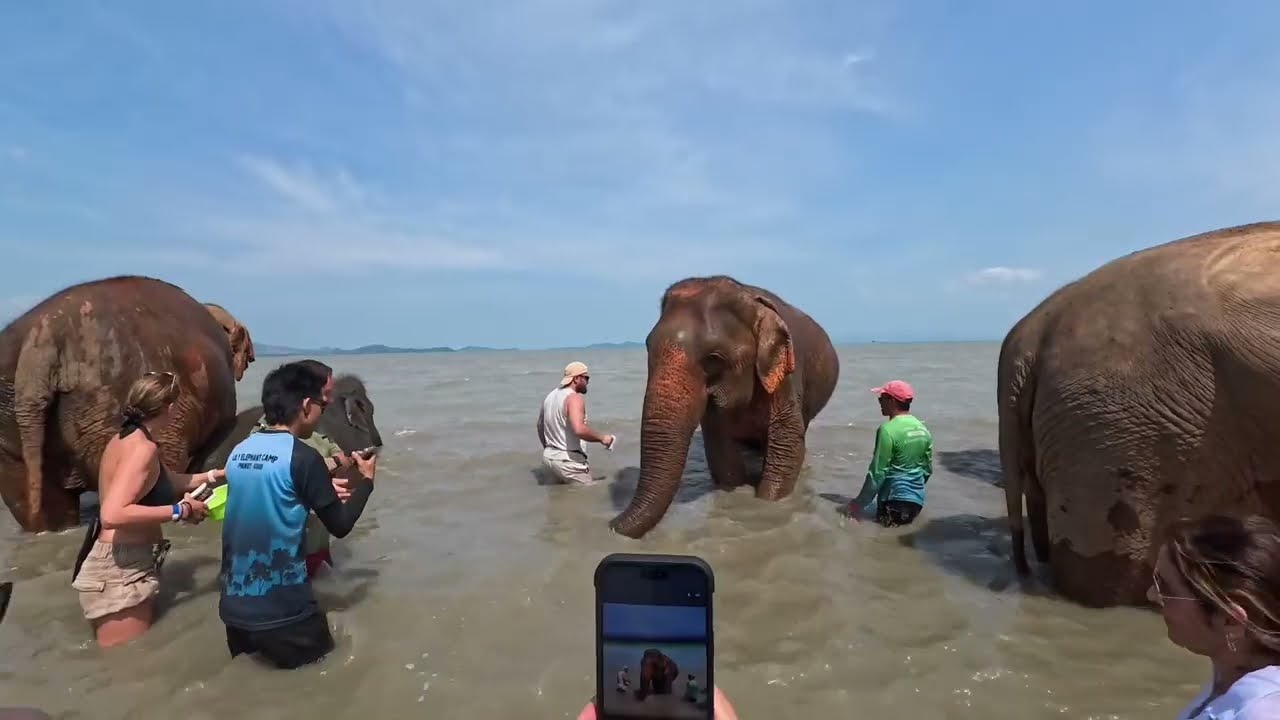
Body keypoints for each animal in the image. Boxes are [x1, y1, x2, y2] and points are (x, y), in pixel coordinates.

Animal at [610, 275, 840, 538]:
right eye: (648, 347)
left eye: (714, 359)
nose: (611, 525)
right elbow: (721, 451)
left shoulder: (786, 376)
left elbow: (787, 445)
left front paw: (764, 503)